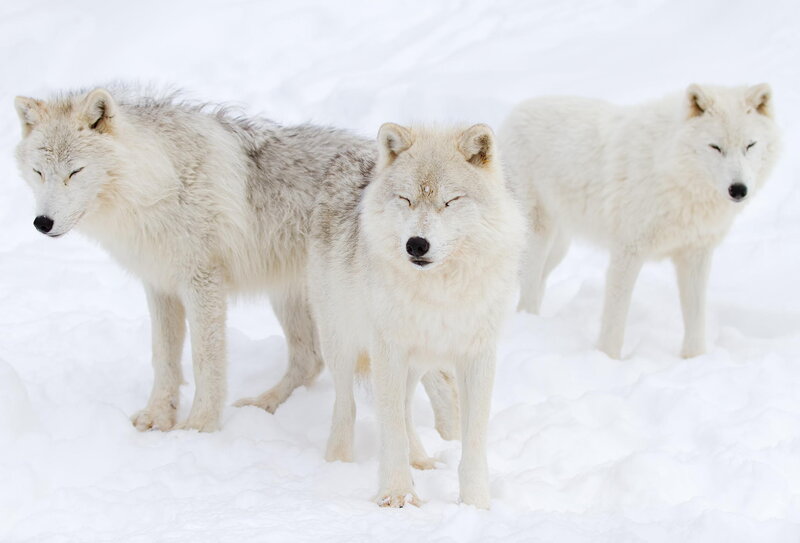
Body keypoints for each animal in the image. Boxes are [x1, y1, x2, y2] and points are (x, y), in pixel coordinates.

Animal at [13, 87, 460, 436]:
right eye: (38, 172)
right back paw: (264, 405)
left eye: (75, 172)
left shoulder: (202, 282)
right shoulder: (159, 286)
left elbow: (205, 360)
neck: (156, 184)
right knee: (310, 361)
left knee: (440, 376)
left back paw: (447, 443)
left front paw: (198, 427)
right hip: (296, 299)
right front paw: (158, 418)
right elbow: (164, 359)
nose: (42, 223)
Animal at [308, 123, 525, 508]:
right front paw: (397, 495)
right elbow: (390, 428)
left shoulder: (477, 355)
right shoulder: (388, 349)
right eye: (406, 199)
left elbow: (472, 437)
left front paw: (475, 504)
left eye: (450, 201)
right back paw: (338, 461)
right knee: (347, 405)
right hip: (343, 343)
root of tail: (347, 154)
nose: (416, 244)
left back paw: (421, 460)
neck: (439, 292)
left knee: (405, 407)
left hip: (417, 363)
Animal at [499, 84, 781, 359]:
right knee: (528, 292)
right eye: (715, 147)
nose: (739, 189)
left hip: (559, 248)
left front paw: (695, 359)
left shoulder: (695, 253)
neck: (672, 170)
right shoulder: (627, 251)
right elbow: (614, 319)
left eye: (750, 145)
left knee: (535, 284)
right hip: (538, 238)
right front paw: (607, 360)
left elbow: (695, 316)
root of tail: (514, 114)